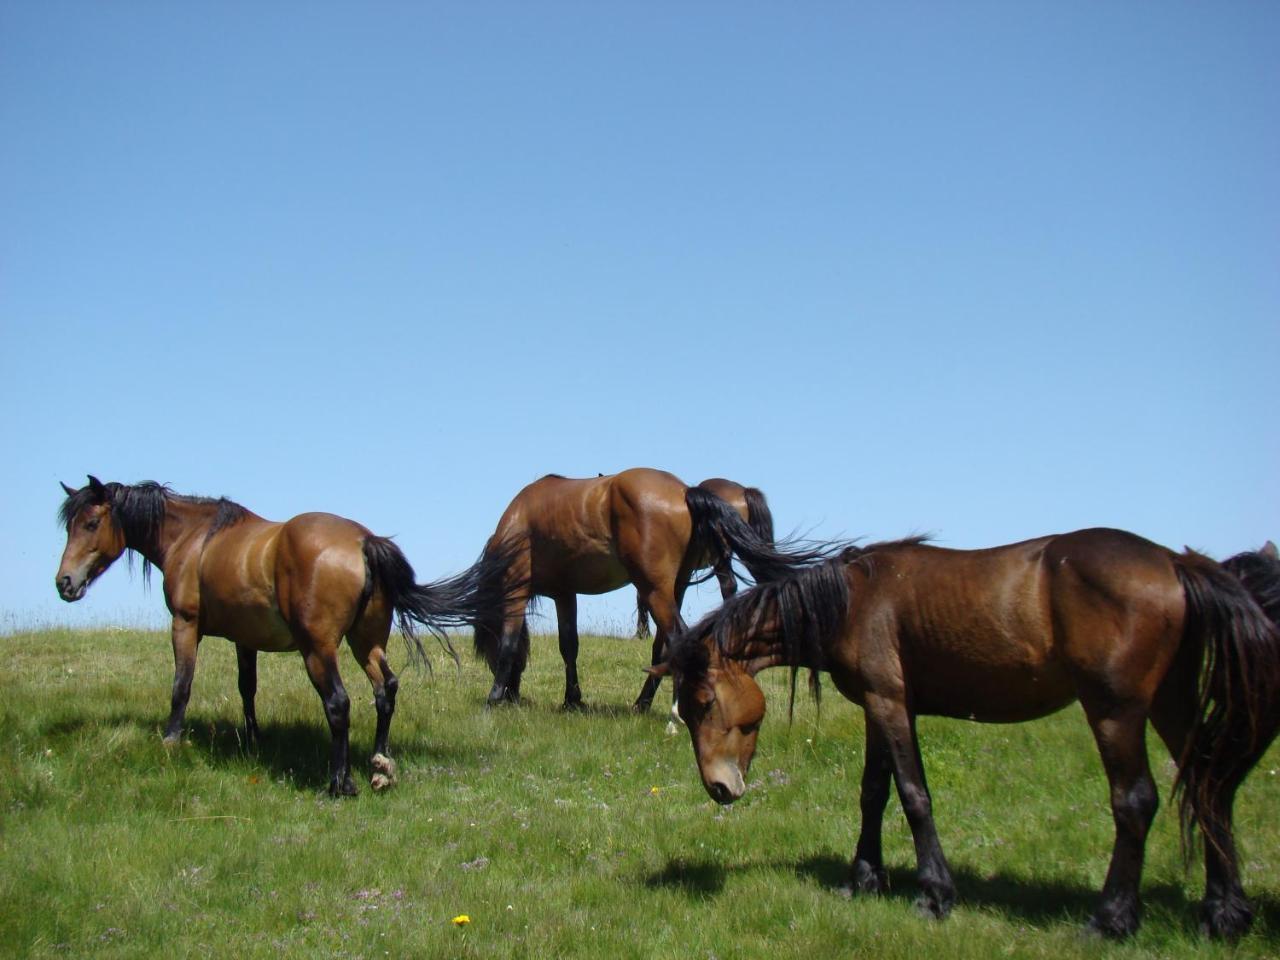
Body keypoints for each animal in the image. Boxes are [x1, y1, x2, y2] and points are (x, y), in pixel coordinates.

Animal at [57, 476, 512, 798]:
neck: (195, 539)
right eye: (70, 527)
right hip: (366, 643)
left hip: (319, 650)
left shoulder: (185, 625)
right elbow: (247, 688)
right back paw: (378, 766)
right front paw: (253, 740)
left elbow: (181, 685)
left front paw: (171, 740)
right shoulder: (244, 640)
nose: (64, 582)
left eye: (92, 523)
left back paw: (340, 783)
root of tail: (364, 542)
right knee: (386, 690)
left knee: (338, 703)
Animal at [660, 527, 1280, 942]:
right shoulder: (880, 708)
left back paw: (1111, 919)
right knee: (1209, 788)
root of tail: (1176, 562)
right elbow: (872, 794)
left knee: (1136, 802)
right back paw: (1224, 915)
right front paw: (863, 880)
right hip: (1172, 705)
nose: (719, 788)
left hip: (1116, 711)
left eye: (703, 703)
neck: (851, 601)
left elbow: (914, 797)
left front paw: (935, 894)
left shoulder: (890, 703)